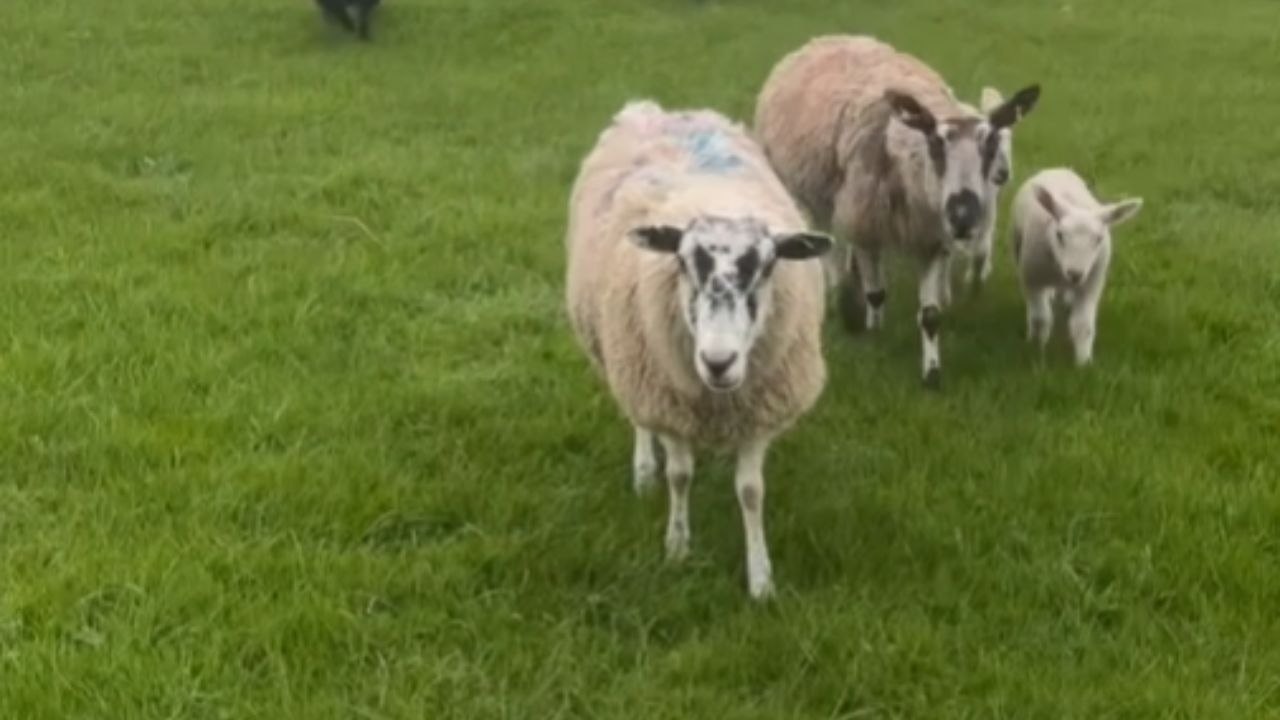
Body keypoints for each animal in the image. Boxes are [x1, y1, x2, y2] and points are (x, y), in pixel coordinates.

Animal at [565, 99, 833, 599]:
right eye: (684, 262)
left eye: (768, 266)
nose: (718, 362)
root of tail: (658, 110)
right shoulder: (668, 399)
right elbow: (680, 476)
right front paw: (677, 548)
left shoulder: (758, 411)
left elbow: (751, 491)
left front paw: (761, 578)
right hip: (629, 359)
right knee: (638, 420)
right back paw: (643, 470)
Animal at [754, 35, 1040, 388]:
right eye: (936, 145)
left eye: (989, 147)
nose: (963, 216)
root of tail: (830, 38)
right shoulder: (866, 228)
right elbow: (876, 294)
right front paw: (874, 332)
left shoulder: (931, 240)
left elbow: (930, 316)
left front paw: (932, 372)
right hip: (807, 196)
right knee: (827, 244)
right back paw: (838, 292)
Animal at [1011, 168, 1143, 365]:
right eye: (1059, 235)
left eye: (1099, 238)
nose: (1075, 273)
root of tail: (1056, 168)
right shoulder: (1031, 277)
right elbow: (1040, 319)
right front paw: (1038, 348)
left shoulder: (1091, 282)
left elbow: (1083, 325)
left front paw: (1083, 363)